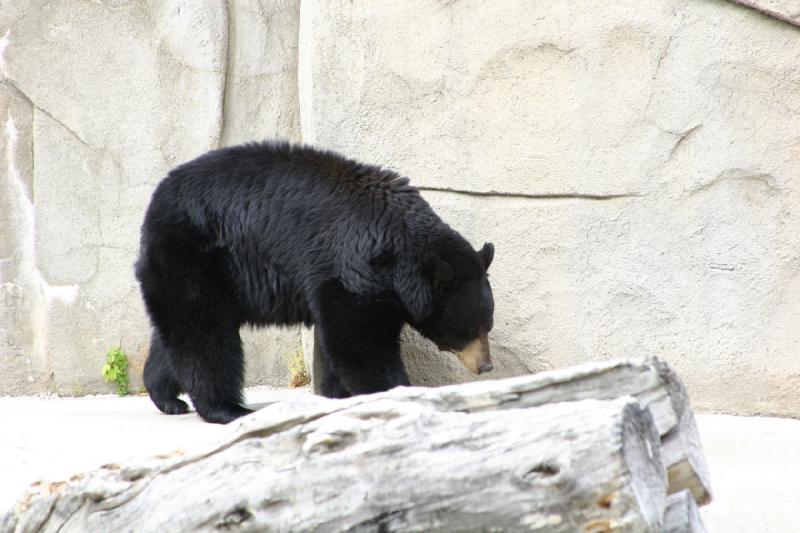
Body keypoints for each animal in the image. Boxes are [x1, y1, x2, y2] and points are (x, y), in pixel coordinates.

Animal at [136, 141, 494, 424]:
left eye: (486, 325)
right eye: (471, 328)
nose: (486, 366)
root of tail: (156, 200)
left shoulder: (353, 283)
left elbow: (333, 342)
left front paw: (335, 397)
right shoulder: (352, 268)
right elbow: (360, 343)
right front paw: (395, 392)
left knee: (177, 332)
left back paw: (167, 397)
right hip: (195, 254)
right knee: (204, 332)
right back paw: (227, 409)